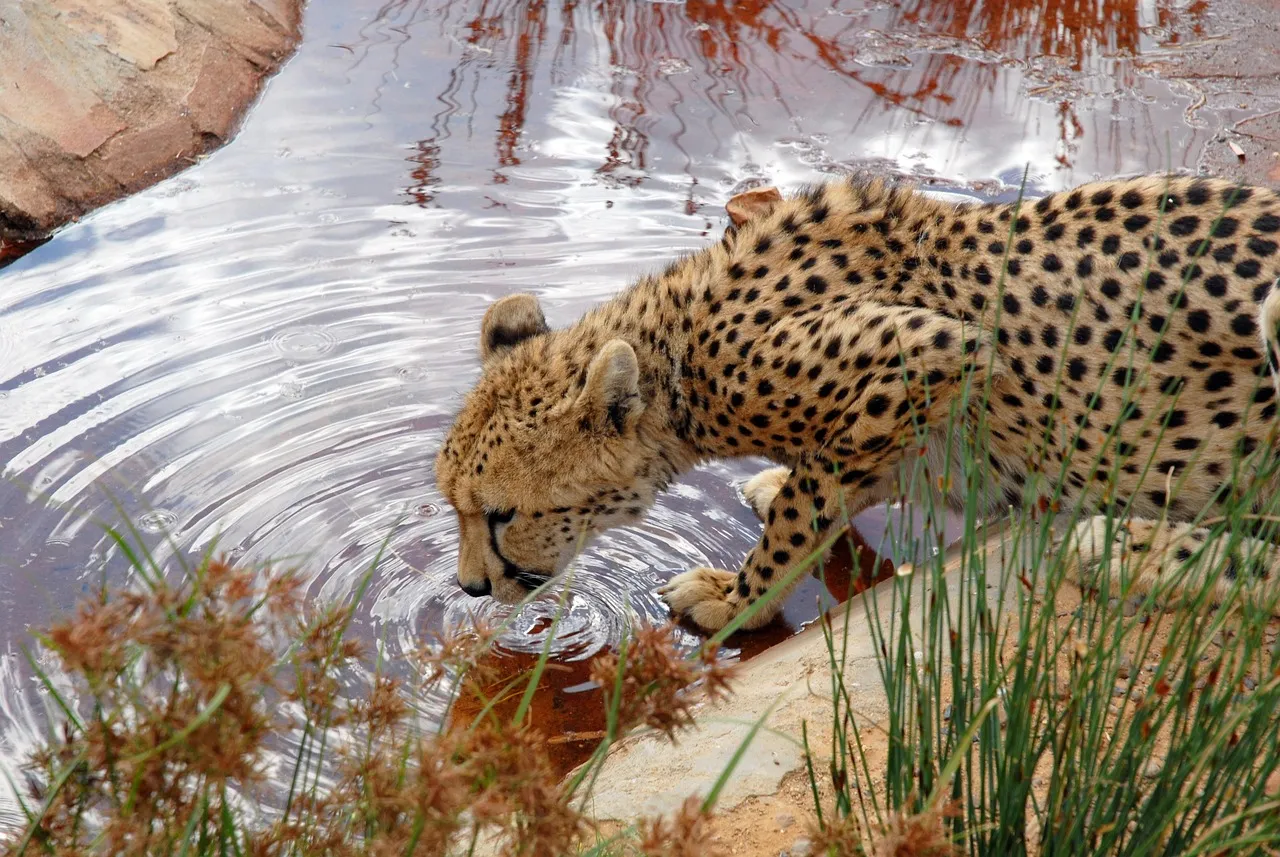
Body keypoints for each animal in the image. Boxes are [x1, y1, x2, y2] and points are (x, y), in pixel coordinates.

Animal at [435, 174, 1280, 632]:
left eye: (502, 513)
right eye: (455, 506)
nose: (471, 588)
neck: (683, 356)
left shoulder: (925, 354)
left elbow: (802, 513)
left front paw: (735, 598)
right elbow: (827, 483)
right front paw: (781, 487)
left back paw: (1128, 546)